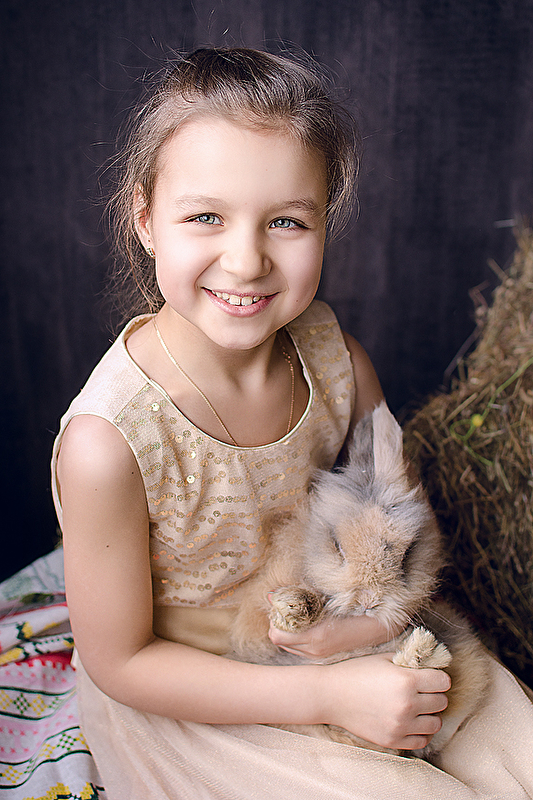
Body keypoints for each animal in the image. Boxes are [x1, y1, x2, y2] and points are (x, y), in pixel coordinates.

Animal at [229, 402, 490, 758]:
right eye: (338, 546)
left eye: (407, 555)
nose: (369, 601)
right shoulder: (255, 623)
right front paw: (292, 607)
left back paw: (423, 651)